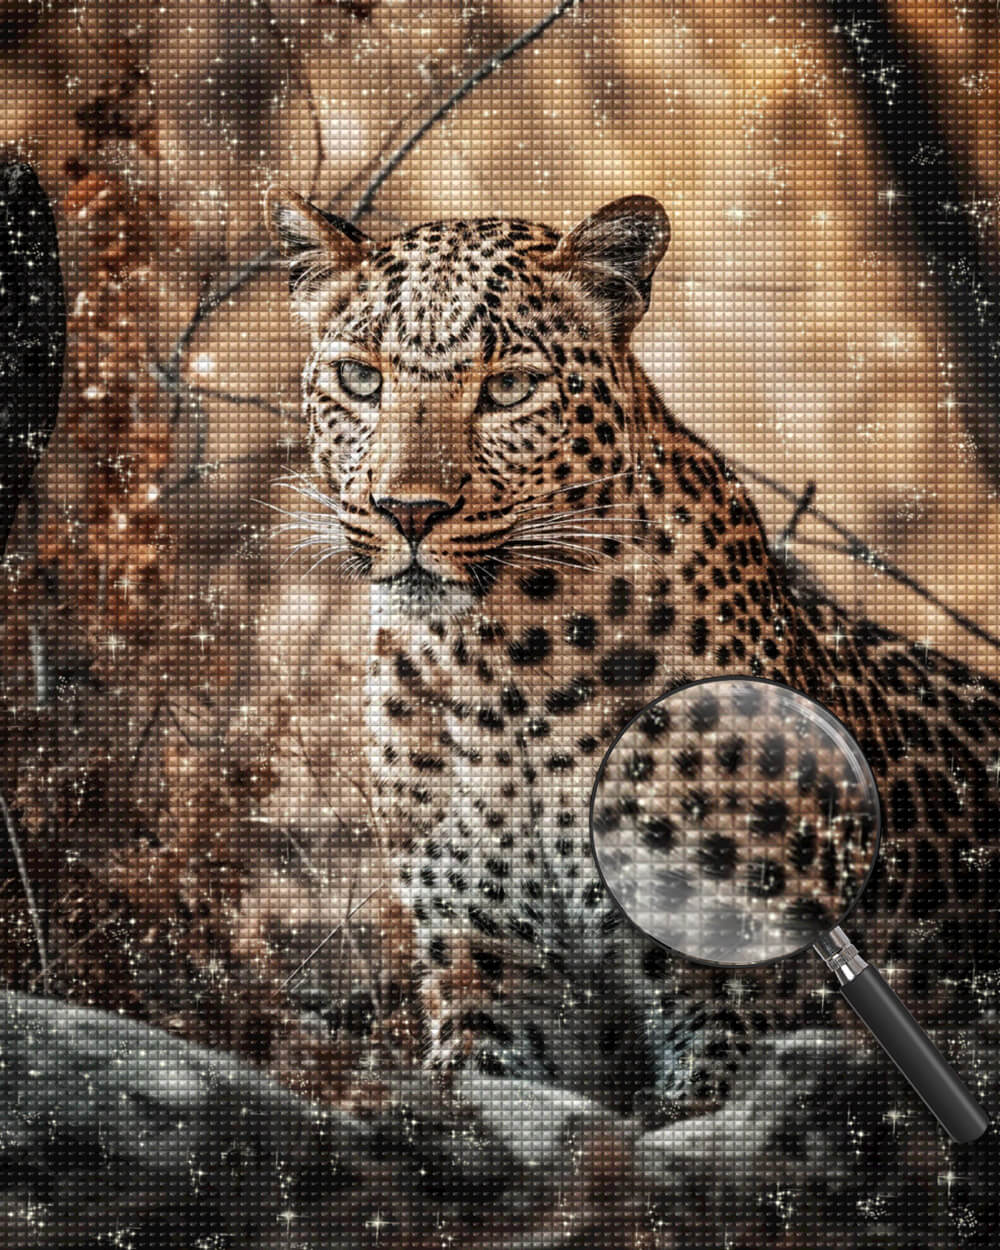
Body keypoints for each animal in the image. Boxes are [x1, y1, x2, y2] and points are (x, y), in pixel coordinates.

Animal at [265, 187, 1000, 1121]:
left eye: (508, 388)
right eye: (361, 378)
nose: (408, 511)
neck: (497, 666)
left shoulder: (724, 977)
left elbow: (703, 1099)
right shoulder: (485, 957)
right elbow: (485, 1089)